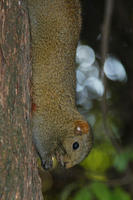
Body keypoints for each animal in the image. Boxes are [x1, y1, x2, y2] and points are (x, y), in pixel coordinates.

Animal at [27, 0, 92, 170]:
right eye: (75, 145)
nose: (67, 165)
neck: (66, 117)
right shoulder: (49, 119)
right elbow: (40, 136)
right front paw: (47, 158)